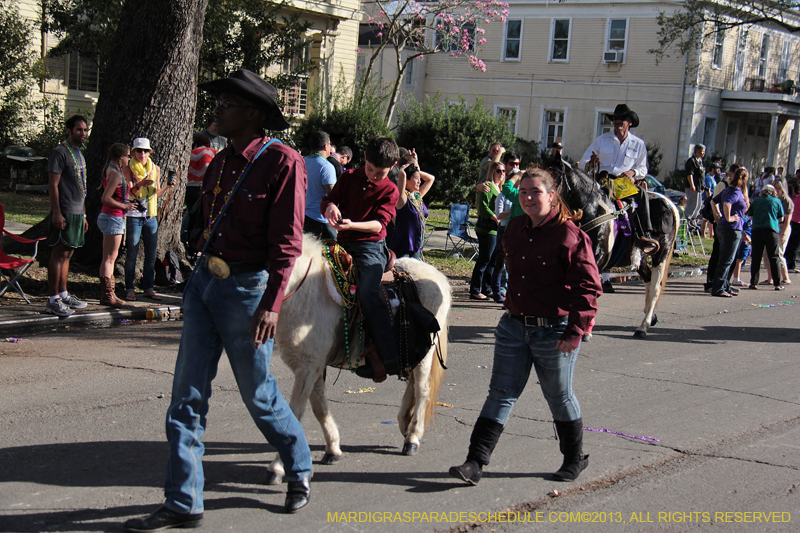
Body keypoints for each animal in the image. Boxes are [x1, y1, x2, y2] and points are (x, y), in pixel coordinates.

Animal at [266, 234, 446, 482]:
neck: (304, 290)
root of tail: (439, 278)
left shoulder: (307, 367)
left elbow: (295, 413)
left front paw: (277, 467)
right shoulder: (312, 366)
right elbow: (319, 407)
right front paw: (333, 449)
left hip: (426, 353)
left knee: (422, 389)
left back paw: (413, 438)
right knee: (412, 383)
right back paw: (404, 423)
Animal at [540, 158, 680, 338]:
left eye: (553, 174)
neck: (591, 210)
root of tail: (669, 203)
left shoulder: (597, 259)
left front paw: (584, 330)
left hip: (662, 253)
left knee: (656, 287)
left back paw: (643, 326)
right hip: (640, 257)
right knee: (648, 280)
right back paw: (651, 316)